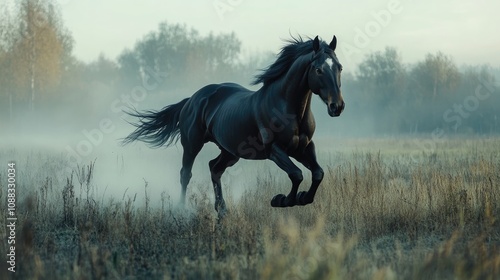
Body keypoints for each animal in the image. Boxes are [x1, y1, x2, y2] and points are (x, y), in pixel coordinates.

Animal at [124, 34, 344, 214]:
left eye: (339, 67)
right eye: (318, 69)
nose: (337, 106)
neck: (287, 108)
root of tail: (191, 99)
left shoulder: (303, 148)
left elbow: (318, 173)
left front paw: (303, 197)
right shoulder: (274, 150)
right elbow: (296, 174)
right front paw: (281, 200)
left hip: (231, 151)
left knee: (214, 168)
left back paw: (222, 210)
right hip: (192, 144)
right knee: (185, 174)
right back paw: (181, 210)